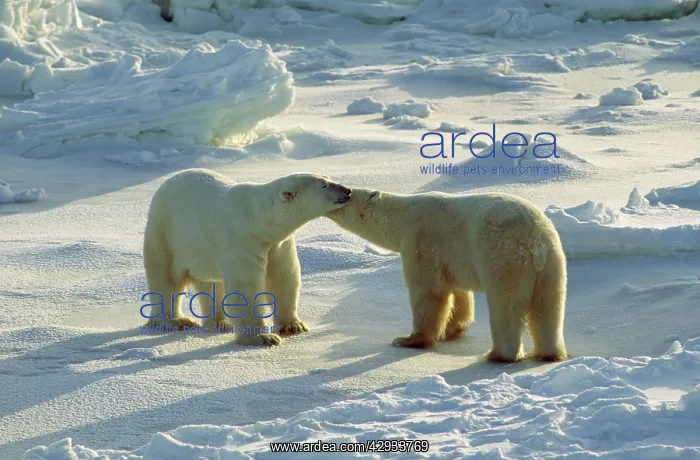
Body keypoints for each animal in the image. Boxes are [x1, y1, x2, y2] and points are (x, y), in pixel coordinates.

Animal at [142, 168, 352, 346]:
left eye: (327, 178)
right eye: (323, 185)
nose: (348, 191)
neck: (258, 220)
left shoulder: (278, 245)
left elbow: (284, 277)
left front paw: (293, 326)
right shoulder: (243, 241)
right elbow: (246, 286)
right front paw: (263, 338)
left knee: (210, 283)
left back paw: (219, 323)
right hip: (165, 232)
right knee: (166, 278)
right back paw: (174, 320)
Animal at [325, 188, 568, 363]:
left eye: (349, 193)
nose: (345, 192)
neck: (403, 216)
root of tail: (535, 245)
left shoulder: (422, 239)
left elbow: (428, 291)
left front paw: (408, 340)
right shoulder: (454, 258)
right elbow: (458, 292)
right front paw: (452, 330)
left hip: (505, 260)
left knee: (505, 306)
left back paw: (498, 355)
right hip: (552, 266)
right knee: (549, 308)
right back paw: (550, 353)